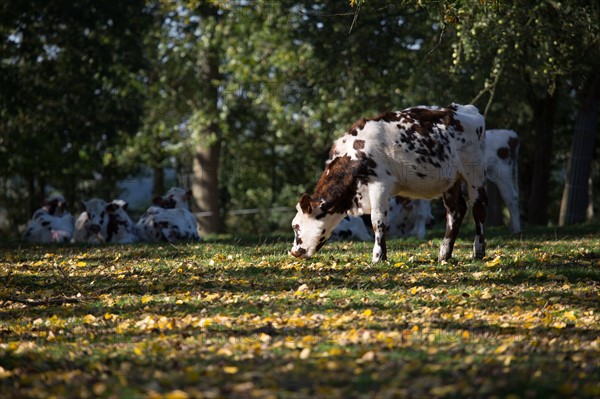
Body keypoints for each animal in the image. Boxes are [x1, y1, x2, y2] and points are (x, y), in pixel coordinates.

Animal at [290, 104, 488, 264]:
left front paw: (378, 256)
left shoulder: (380, 185)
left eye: (296, 226)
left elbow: (377, 221)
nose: (293, 252)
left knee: (478, 207)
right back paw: (444, 254)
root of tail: (465, 109)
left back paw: (478, 251)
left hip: (474, 172)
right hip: (451, 181)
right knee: (455, 211)